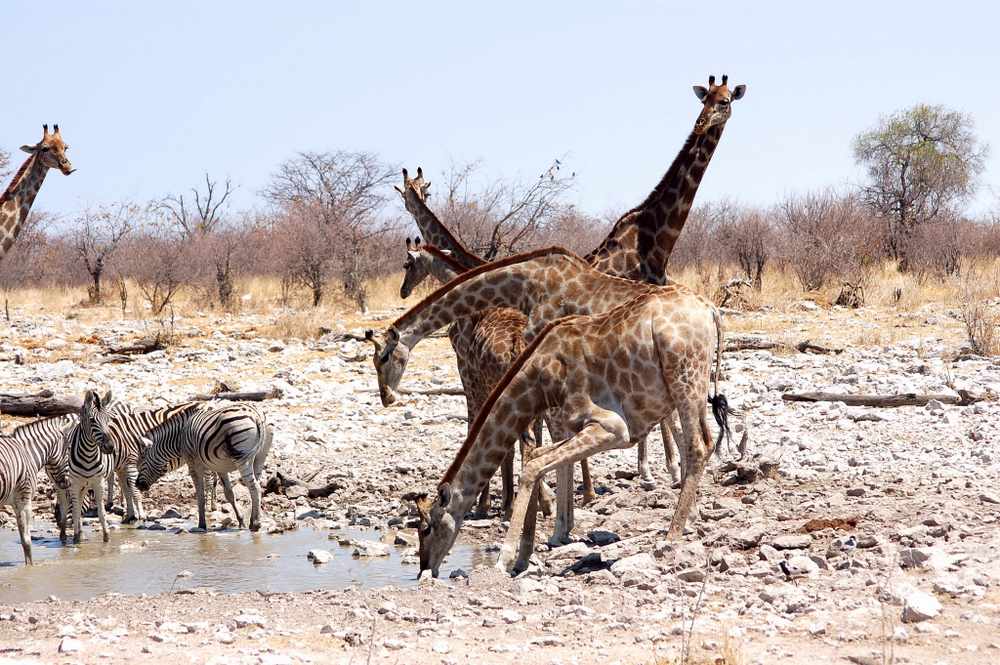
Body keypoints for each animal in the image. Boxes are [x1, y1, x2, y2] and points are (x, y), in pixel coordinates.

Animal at [0, 426, 71, 564]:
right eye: (69, 450)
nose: (68, 483)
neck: (28, 454)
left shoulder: (16, 502)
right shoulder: (23, 499)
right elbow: (26, 541)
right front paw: (30, 566)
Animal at [137, 402, 272, 532]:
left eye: (142, 459)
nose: (138, 485)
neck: (180, 437)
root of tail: (256, 415)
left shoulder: (193, 465)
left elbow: (200, 495)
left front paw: (201, 524)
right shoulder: (220, 467)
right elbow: (229, 494)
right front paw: (241, 521)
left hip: (242, 459)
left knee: (255, 487)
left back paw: (256, 524)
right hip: (260, 456)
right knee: (255, 487)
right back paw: (252, 521)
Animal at [372, 246, 724, 544]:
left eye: (383, 357)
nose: (387, 398)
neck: (525, 284)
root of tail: (711, 309)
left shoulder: (490, 376)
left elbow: (524, 437)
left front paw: (540, 510)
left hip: (677, 375)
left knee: (690, 436)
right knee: (684, 430)